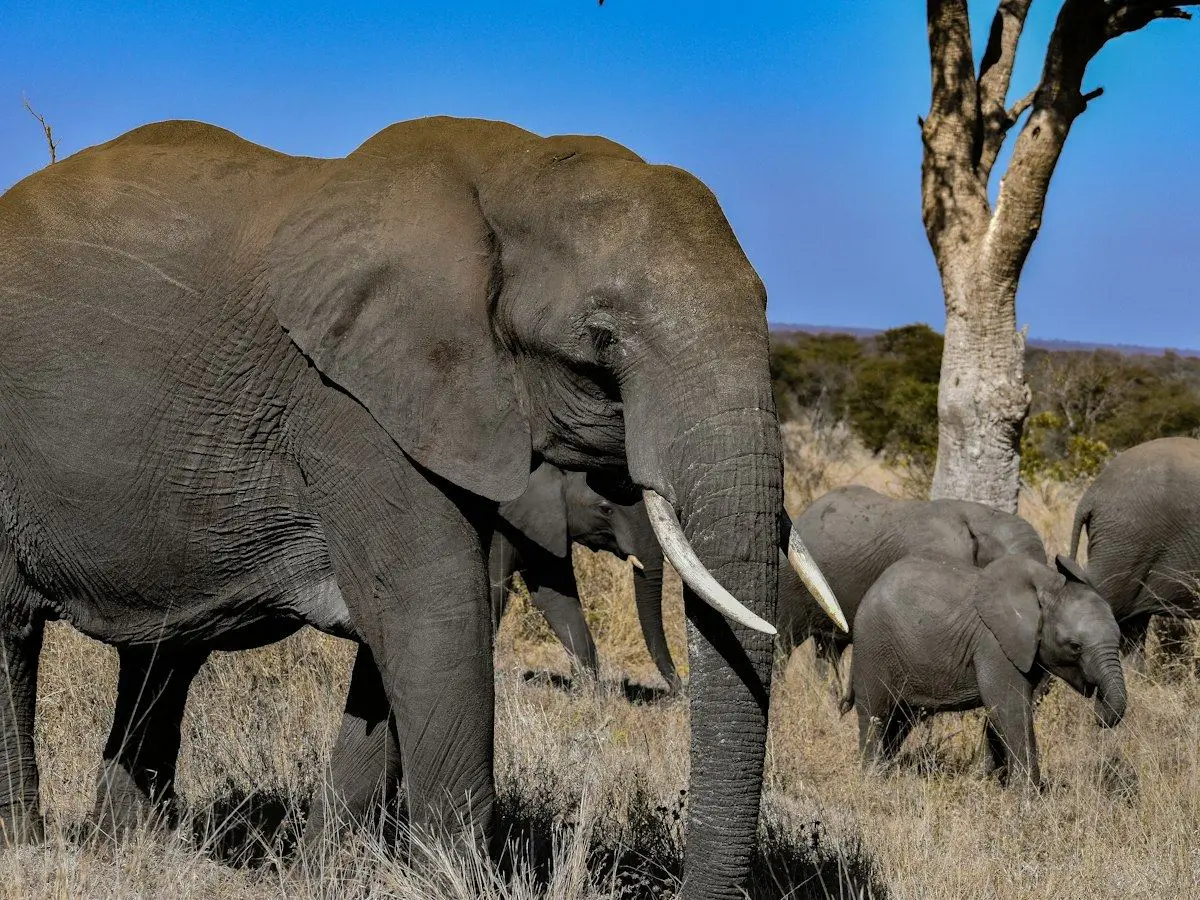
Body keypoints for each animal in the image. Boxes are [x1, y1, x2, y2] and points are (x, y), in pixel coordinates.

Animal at [490, 461, 680, 693]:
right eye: (605, 509)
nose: (678, 691)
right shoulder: (499, 524)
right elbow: (493, 588)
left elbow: (555, 596)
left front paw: (588, 695)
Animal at [848, 554, 1126, 786]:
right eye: (1075, 646)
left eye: (1119, 639)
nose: (1099, 711)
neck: (1046, 586)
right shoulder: (994, 644)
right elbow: (1008, 706)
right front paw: (1026, 795)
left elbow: (1005, 710)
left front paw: (987, 782)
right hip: (872, 646)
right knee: (876, 713)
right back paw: (873, 779)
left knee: (901, 720)